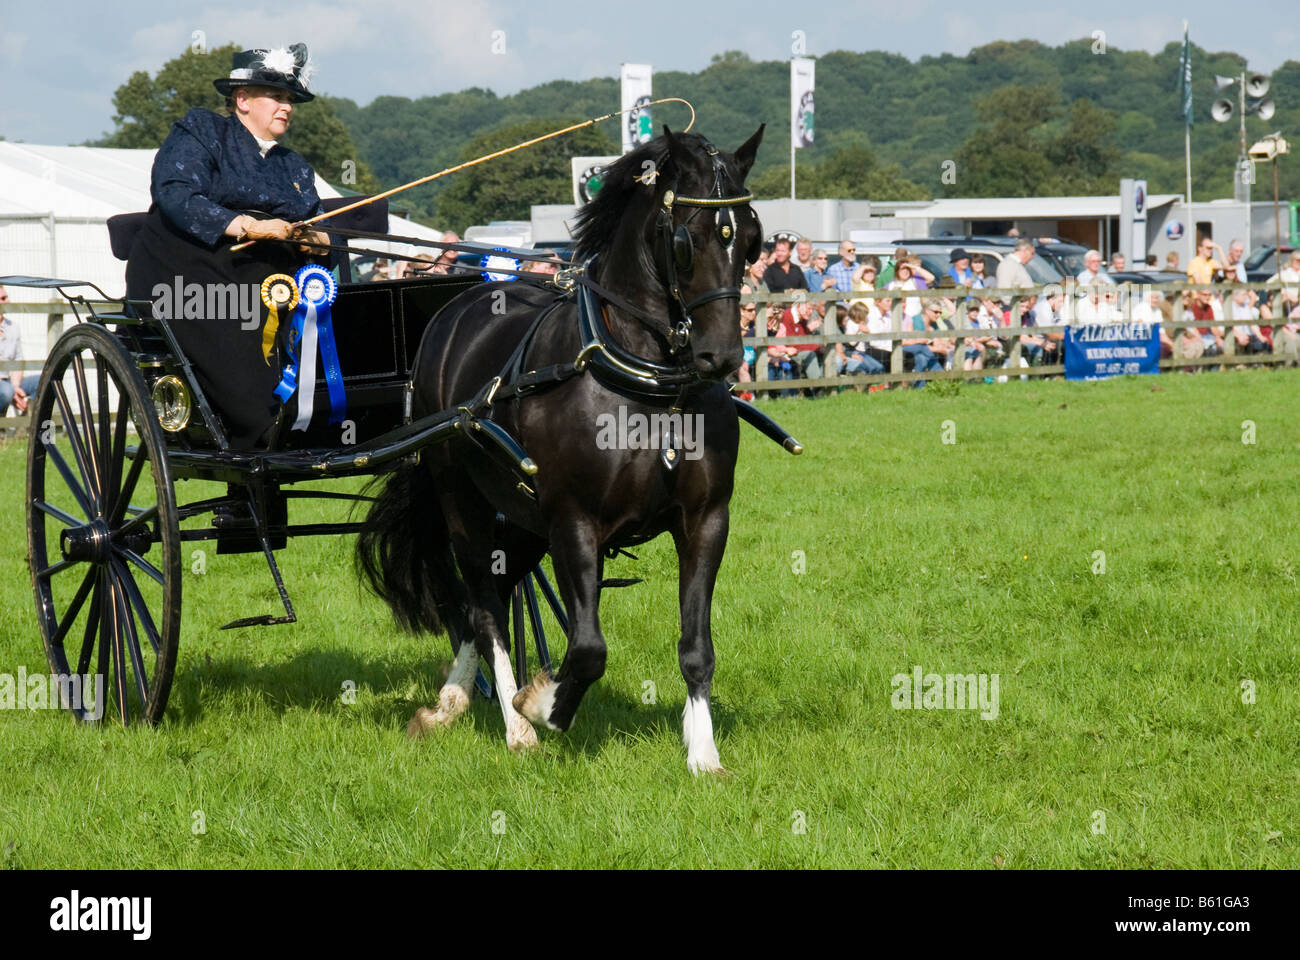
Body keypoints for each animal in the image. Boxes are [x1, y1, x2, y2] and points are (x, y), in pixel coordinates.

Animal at [356, 125, 759, 770]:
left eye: (749, 237)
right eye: (685, 240)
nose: (719, 356)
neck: (652, 388)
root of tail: (454, 311)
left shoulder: (706, 519)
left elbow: (697, 645)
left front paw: (703, 754)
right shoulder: (573, 519)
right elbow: (588, 647)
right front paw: (541, 703)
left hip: (521, 518)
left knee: (491, 597)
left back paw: (448, 703)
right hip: (463, 501)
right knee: (485, 605)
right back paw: (511, 725)